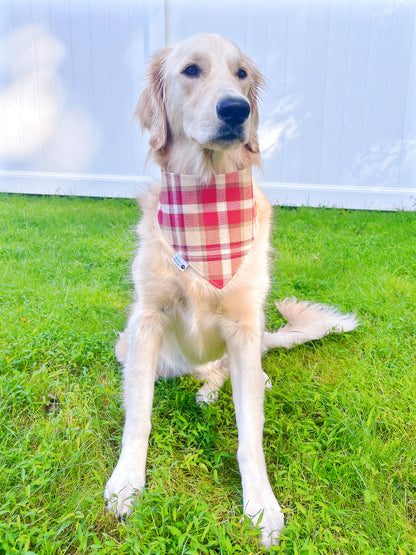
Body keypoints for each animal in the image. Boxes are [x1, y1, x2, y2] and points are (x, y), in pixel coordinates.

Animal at [104, 33, 358, 548]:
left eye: (241, 75)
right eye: (191, 70)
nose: (236, 109)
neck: (208, 204)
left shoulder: (244, 325)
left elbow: (250, 436)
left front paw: (261, 503)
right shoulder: (146, 320)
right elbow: (138, 415)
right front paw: (127, 482)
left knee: (237, 372)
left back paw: (244, 382)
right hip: (130, 344)